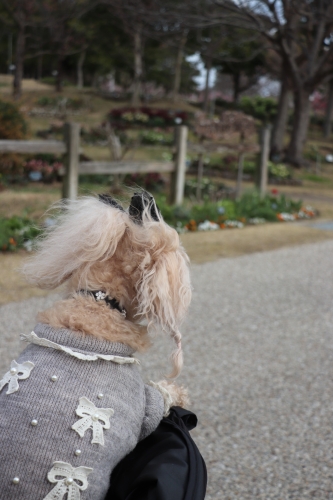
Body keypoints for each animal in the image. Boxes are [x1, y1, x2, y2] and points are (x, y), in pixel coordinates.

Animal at [0, 191, 191, 500]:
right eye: (149, 215)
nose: (142, 194)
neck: (98, 305)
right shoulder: (146, 404)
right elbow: (165, 393)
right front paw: (181, 393)